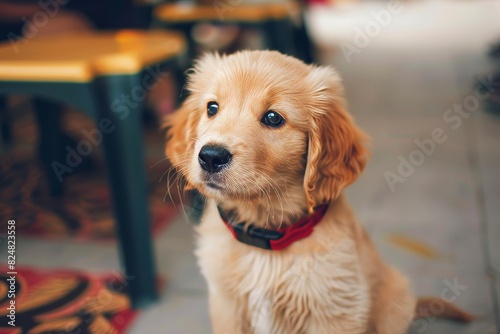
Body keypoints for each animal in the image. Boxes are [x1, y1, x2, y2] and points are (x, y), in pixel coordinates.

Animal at [164, 50, 472, 334]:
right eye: (212, 108)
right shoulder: (226, 307)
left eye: (273, 118)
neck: (267, 238)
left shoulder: (336, 311)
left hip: (395, 298)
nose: (210, 156)